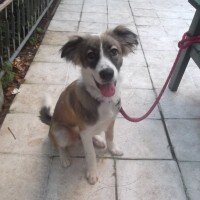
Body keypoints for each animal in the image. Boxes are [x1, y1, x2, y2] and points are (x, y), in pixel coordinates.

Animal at [40, 25, 138, 184]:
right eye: (91, 55)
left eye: (114, 51)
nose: (107, 73)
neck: (102, 99)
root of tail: (51, 122)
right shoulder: (85, 130)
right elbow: (90, 154)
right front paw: (92, 173)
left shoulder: (111, 121)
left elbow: (110, 137)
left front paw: (113, 149)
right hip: (61, 132)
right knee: (59, 145)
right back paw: (64, 158)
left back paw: (98, 140)